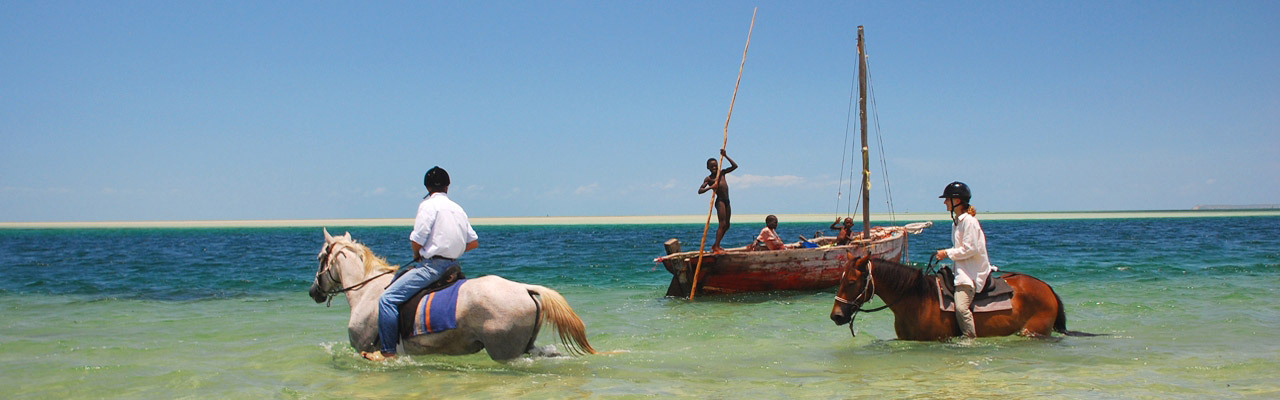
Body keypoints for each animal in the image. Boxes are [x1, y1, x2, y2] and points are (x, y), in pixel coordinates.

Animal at [307, 228, 596, 361]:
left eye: (320, 257)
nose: (313, 292)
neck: (367, 292)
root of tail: (525, 288)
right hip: (526, 347)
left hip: (505, 351)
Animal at [829, 256, 1100, 341]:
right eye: (839, 280)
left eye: (851, 282)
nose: (836, 316)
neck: (917, 301)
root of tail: (1046, 288)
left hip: (1033, 331)